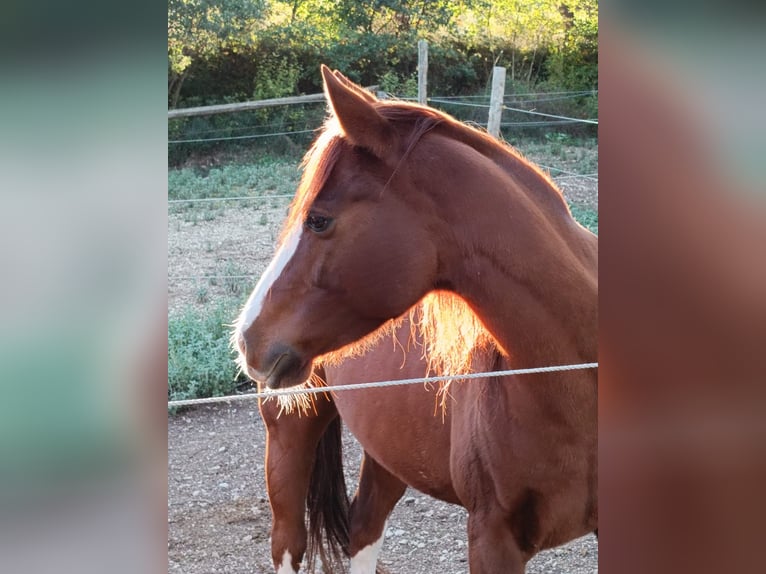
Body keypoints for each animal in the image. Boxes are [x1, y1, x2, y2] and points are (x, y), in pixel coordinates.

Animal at [236, 66, 598, 573]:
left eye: (319, 220)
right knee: (289, 542)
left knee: (363, 529)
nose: (248, 337)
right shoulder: (492, 538)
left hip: (387, 450)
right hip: (289, 438)